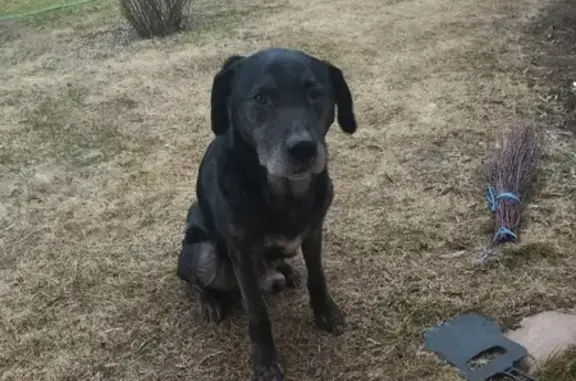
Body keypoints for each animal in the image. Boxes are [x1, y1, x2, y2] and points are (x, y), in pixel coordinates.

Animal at [177, 47, 356, 380]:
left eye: (315, 93)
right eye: (260, 98)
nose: (303, 149)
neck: (282, 192)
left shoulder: (314, 233)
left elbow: (318, 278)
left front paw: (326, 314)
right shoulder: (242, 255)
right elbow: (257, 313)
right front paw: (266, 360)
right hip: (203, 252)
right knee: (193, 278)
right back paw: (208, 300)